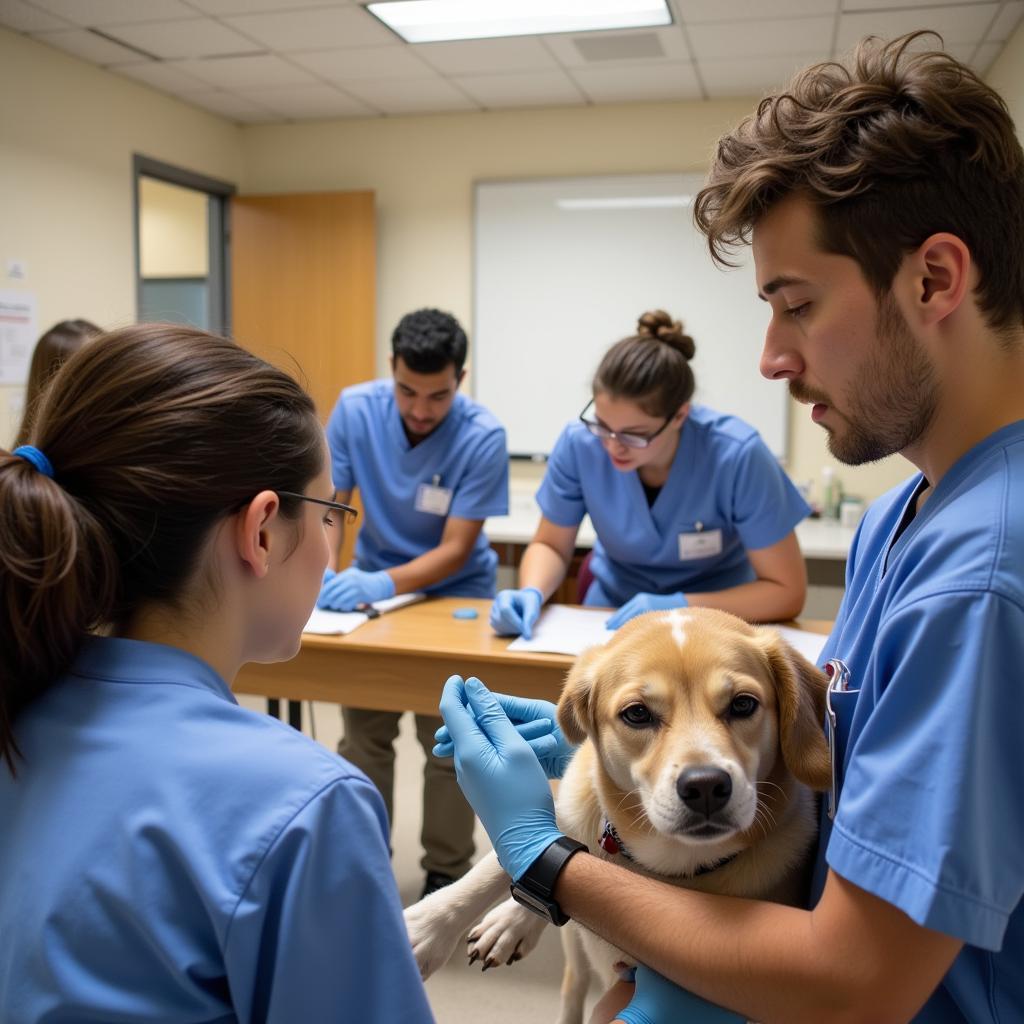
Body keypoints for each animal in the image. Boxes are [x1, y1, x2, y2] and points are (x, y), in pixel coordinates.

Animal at [403, 610, 827, 1019]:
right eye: (637, 714)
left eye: (742, 704)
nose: (705, 786)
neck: (663, 863)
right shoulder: (569, 809)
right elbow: (500, 862)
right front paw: (427, 927)